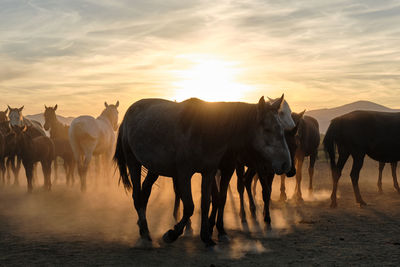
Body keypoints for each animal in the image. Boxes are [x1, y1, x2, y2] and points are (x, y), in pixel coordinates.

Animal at [114, 96, 292, 247]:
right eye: (267, 129)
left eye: (281, 129)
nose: (286, 164)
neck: (205, 129)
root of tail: (128, 115)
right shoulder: (184, 173)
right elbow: (190, 206)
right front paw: (172, 234)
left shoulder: (209, 172)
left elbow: (208, 202)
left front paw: (207, 236)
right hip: (133, 163)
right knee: (137, 196)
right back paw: (145, 234)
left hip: (154, 168)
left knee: (145, 193)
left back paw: (142, 227)